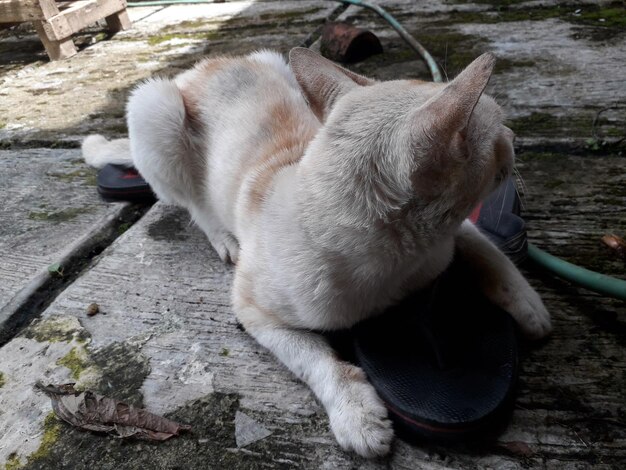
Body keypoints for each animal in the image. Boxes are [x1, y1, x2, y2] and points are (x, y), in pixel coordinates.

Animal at [81, 48, 544, 458]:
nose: (515, 138)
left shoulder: (456, 232)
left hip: (276, 63)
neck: (404, 260)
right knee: (187, 201)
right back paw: (222, 236)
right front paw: (357, 415)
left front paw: (529, 306)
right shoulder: (253, 311)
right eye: (499, 134)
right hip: (154, 107)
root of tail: (200, 69)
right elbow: (318, 361)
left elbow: (491, 254)